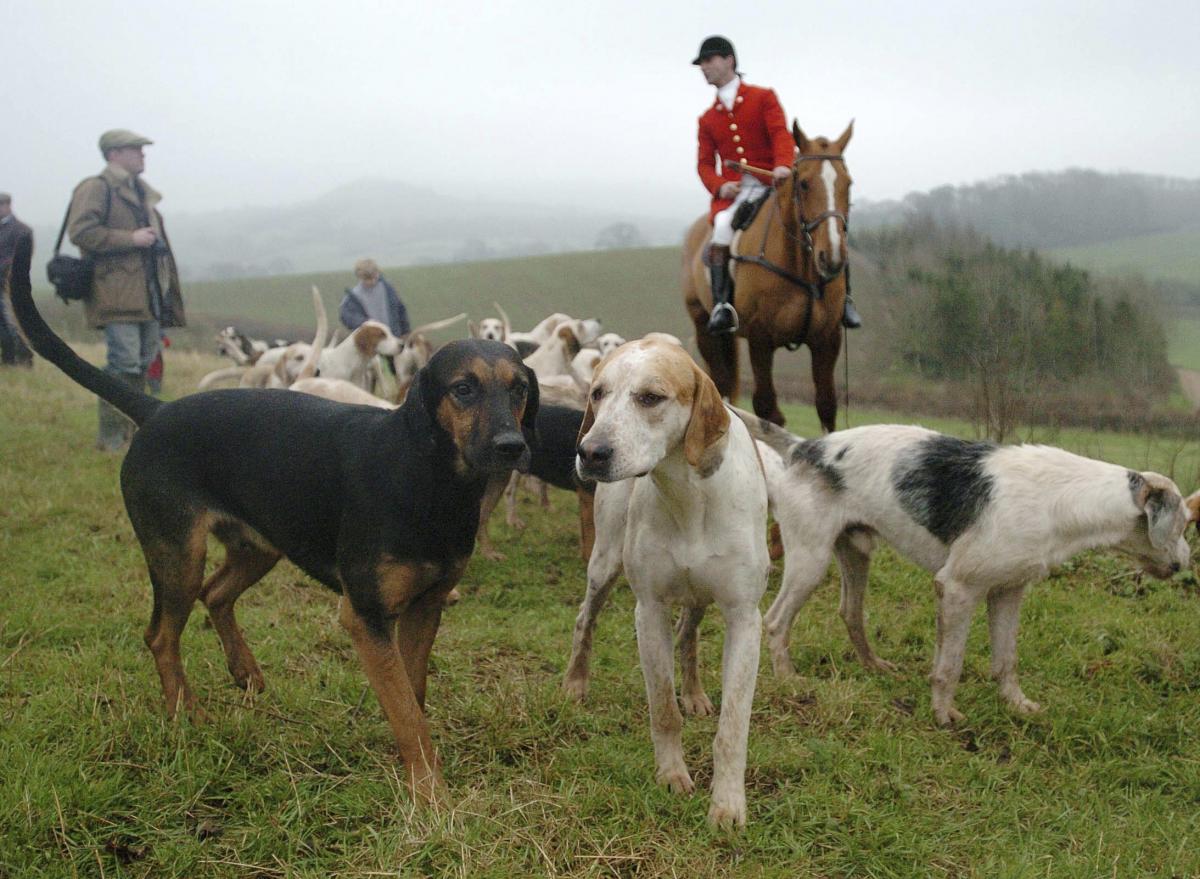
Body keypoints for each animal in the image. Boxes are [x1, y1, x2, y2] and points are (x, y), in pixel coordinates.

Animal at [686, 121, 854, 432]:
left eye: (848, 184)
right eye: (804, 184)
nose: (833, 256)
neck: (802, 266)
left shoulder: (828, 339)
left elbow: (826, 405)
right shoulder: (760, 339)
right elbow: (768, 409)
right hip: (703, 326)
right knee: (720, 383)